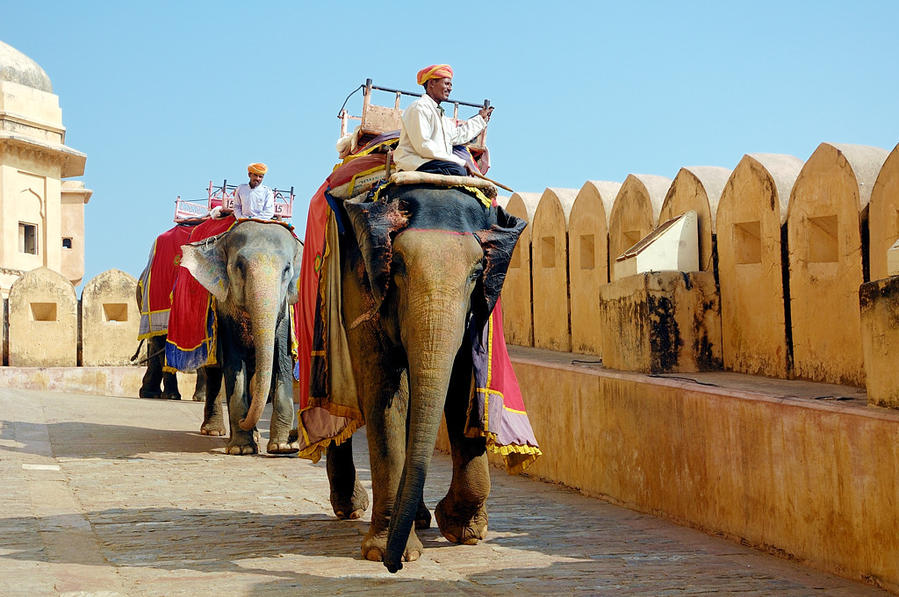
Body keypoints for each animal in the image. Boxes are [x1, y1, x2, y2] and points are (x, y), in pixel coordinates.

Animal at [179, 220, 306, 456]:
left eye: (287, 269)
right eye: (239, 266)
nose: (294, 436)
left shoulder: (284, 310)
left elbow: (281, 360)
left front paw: (281, 447)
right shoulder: (225, 308)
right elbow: (234, 362)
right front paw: (242, 449)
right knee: (214, 373)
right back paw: (214, 431)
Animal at [316, 184, 528, 572]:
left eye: (477, 272)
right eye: (396, 265)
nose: (394, 567)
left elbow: (462, 384)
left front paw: (463, 531)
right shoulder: (359, 282)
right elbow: (385, 390)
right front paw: (385, 552)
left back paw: (417, 518)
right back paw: (352, 509)